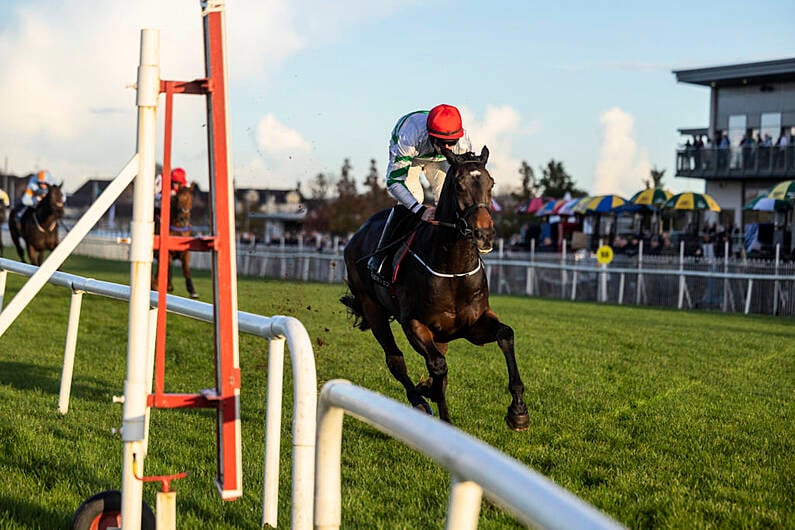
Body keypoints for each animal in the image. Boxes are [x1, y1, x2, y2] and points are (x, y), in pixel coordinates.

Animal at [340, 144, 528, 428]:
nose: (484, 234)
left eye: (491, 183)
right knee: (395, 360)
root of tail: (356, 235)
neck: (453, 270)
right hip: (372, 309)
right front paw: (443, 417)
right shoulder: (413, 323)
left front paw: (518, 411)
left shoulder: (473, 324)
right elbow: (438, 365)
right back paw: (418, 400)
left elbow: (506, 334)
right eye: (459, 185)